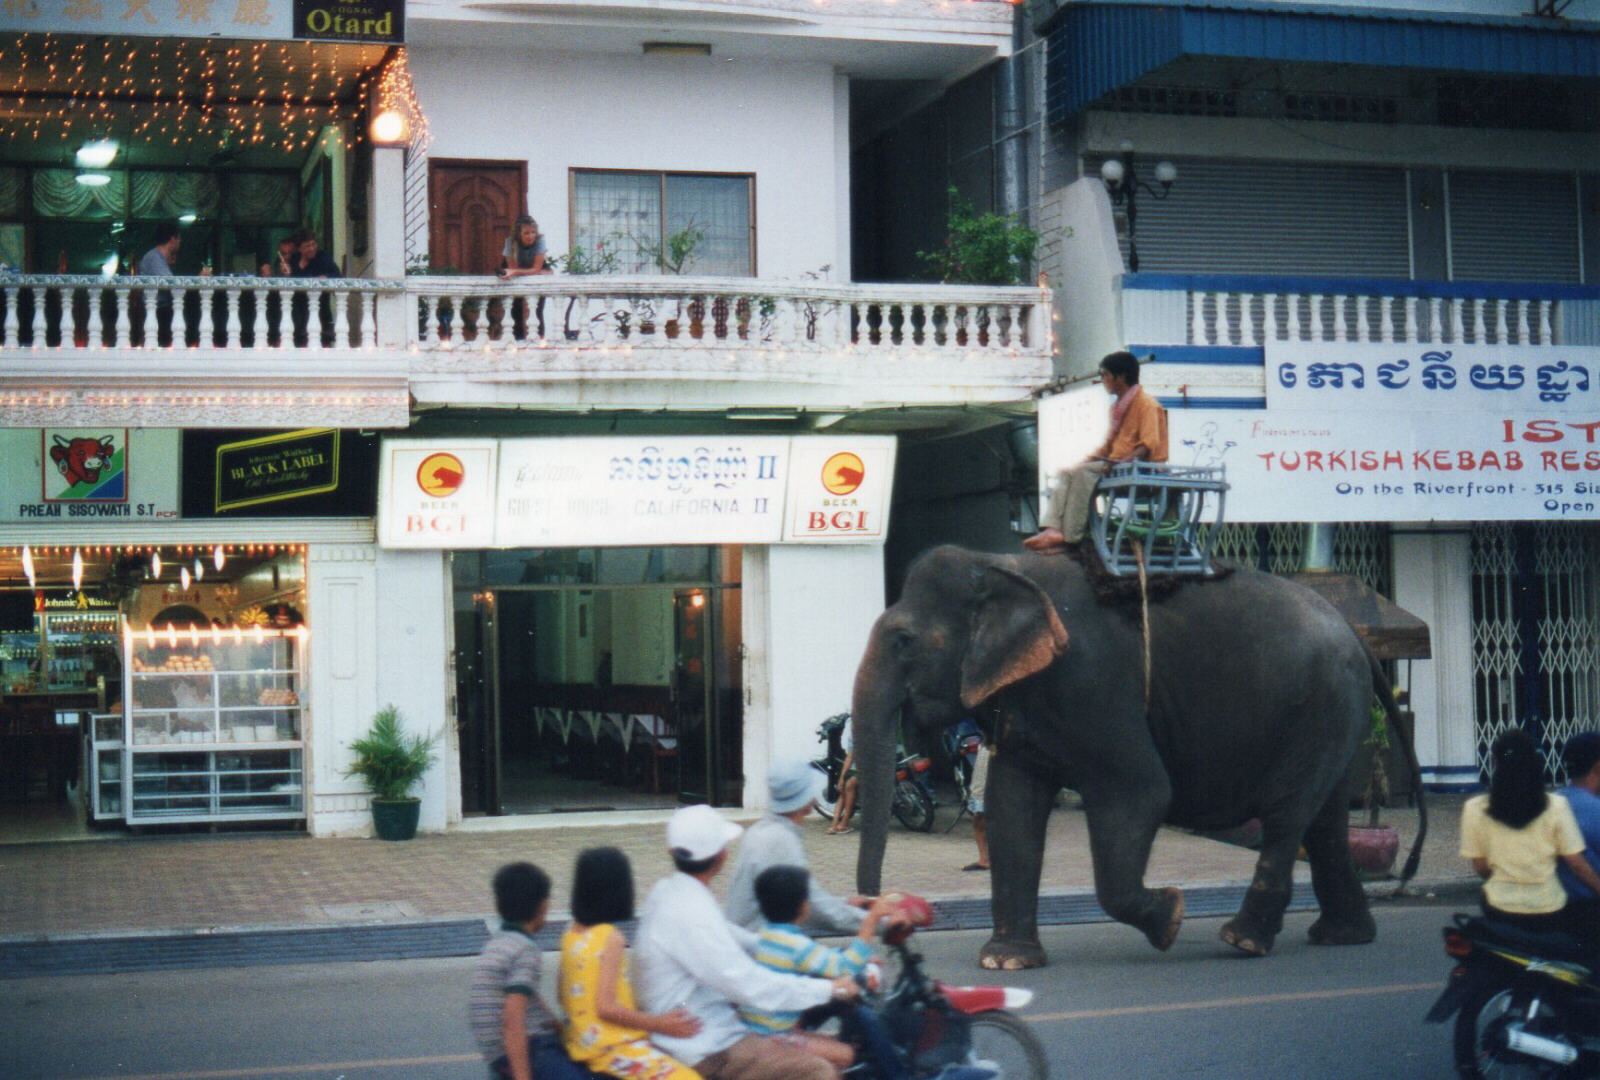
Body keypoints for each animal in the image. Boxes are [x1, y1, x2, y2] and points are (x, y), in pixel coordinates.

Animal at [851, 550, 1427, 972]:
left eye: (904, 639)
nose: (889, 919)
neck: (998, 564)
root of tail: (1355, 633)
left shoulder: (1093, 683)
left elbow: (1141, 793)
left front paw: (1170, 917)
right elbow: (1011, 807)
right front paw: (1005, 963)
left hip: (1319, 706)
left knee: (1287, 817)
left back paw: (1242, 940)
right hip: (1333, 714)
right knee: (1325, 820)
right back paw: (1343, 937)